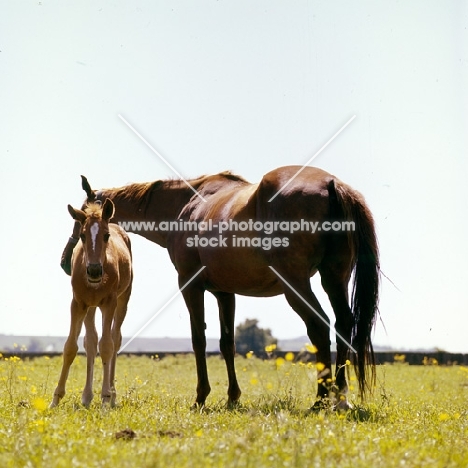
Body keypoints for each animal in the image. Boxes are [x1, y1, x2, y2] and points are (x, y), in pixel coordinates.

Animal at [50, 199, 133, 408]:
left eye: (106, 235)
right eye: (82, 235)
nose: (94, 271)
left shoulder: (109, 302)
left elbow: (107, 346)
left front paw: (105, 399)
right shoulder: (78, 303)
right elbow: (71, 347)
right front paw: (55, 399)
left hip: (122, 299)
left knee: (115, 339)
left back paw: (112, 395)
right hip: (91, 307)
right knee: (91, 341)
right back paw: (87, 396)